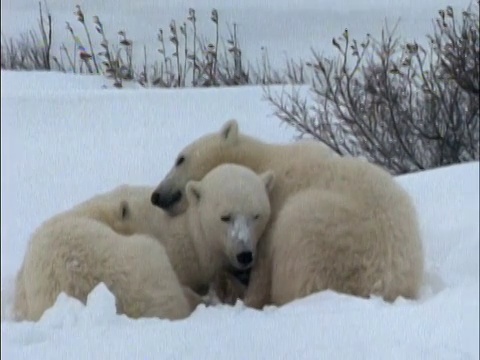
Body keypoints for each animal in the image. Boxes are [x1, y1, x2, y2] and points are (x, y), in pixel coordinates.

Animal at [150, 119, 424, 308]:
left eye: (180, 159)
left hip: (330, 233)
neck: (261, 160)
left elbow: (262, 263)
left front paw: (246, 295)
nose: (156, 195)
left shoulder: (272, 207)